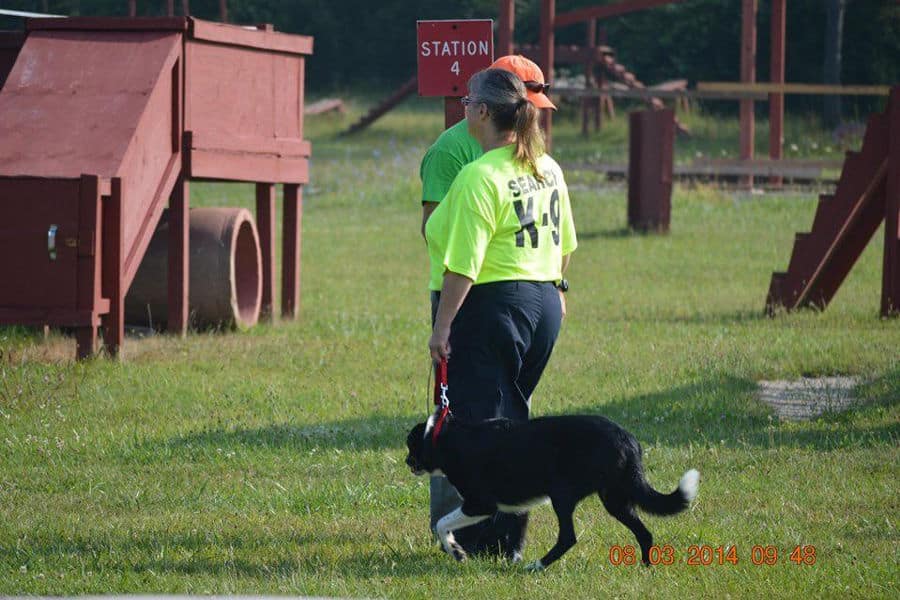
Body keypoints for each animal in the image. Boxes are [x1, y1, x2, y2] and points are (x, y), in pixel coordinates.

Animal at [404, 412, 700, 572]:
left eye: (410, 445)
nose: (407, 462)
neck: (444, 436)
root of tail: (628, 439)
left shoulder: (481, 503)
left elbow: (442, 523)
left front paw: (456, 551)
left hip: (562, 496)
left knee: (568, 537)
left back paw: (536, 567)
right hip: (614, 498)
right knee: (644, 532)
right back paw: (646, 568)